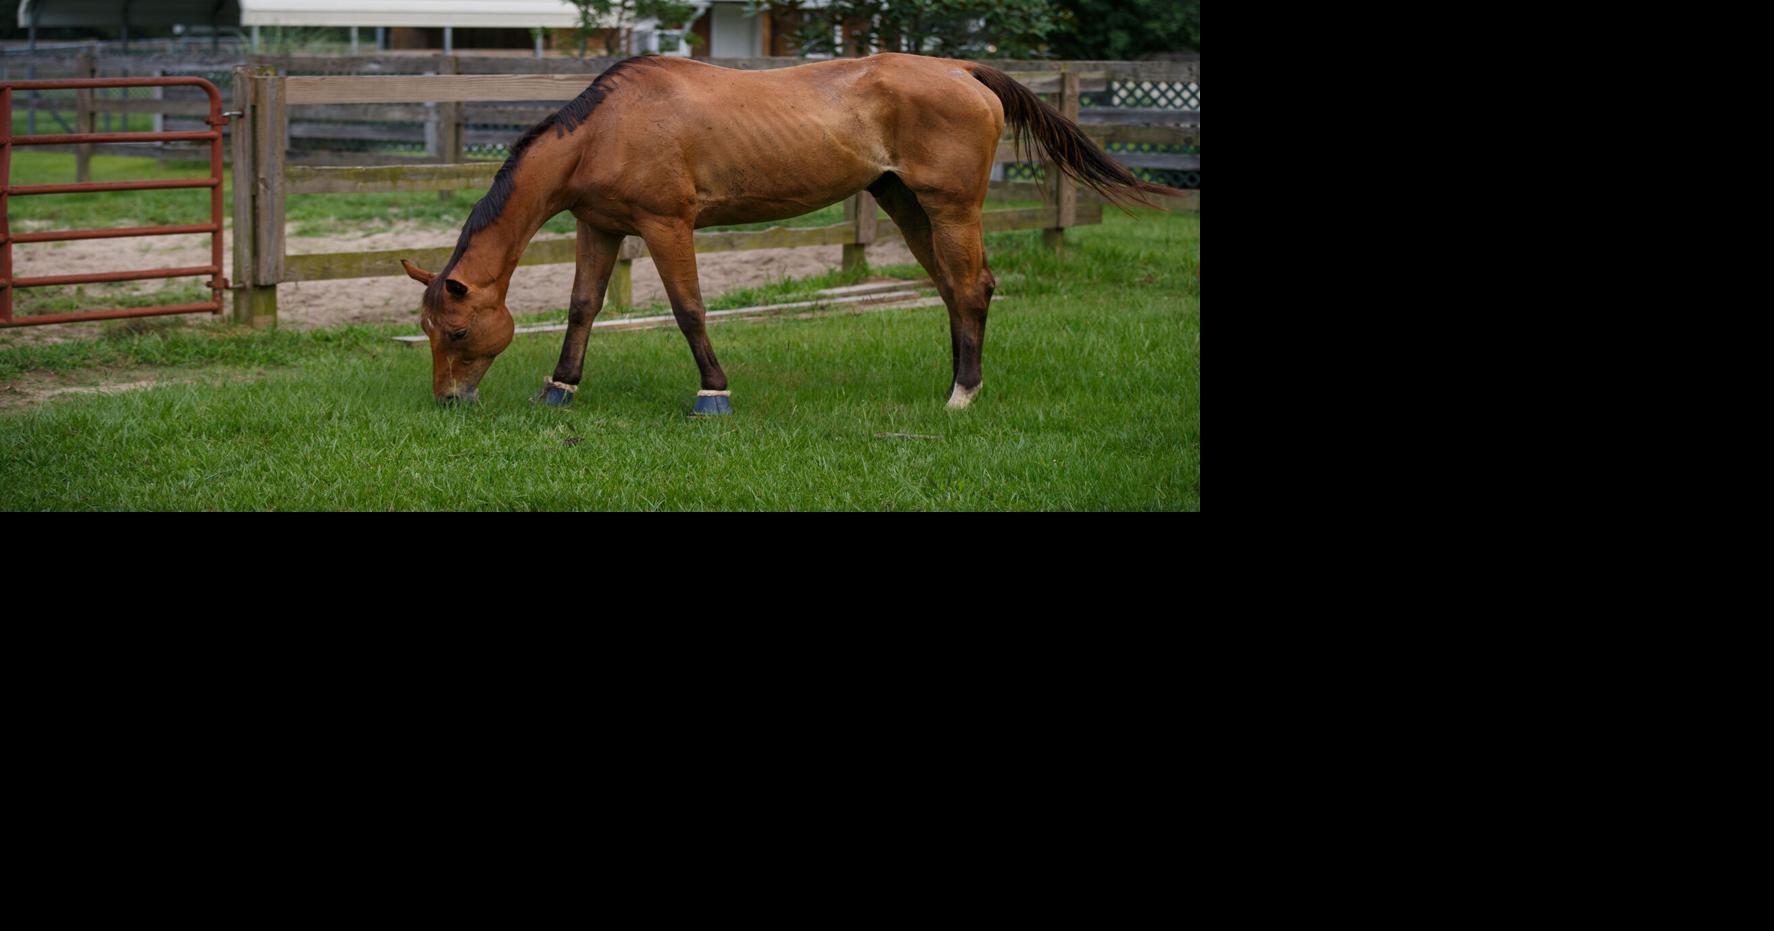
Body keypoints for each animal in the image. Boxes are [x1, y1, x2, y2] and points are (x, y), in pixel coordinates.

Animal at [400, 53, 1183, 412]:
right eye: (429, 331)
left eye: (459, 330)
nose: (448, 401)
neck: (605, 129)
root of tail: (961, 67)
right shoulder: (600, 227)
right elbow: (582, 308)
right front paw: (559, 388)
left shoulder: (667, 225)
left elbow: (688, 310)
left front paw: (713, 393)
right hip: (904, 204)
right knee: (951, 291)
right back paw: (957, 382)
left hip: (951, 208)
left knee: (971, 287)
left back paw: (962, 395)